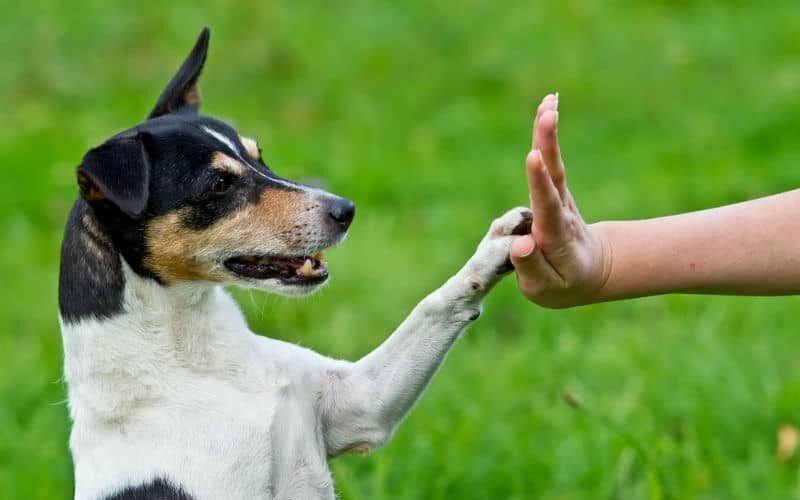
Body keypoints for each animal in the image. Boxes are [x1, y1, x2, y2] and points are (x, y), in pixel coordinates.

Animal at [57, 28, 532, 500]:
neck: (197, 358)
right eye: (218, 183)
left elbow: (434, 305)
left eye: (259, 156)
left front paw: (500, 245)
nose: (345, 210)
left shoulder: (361, 403)